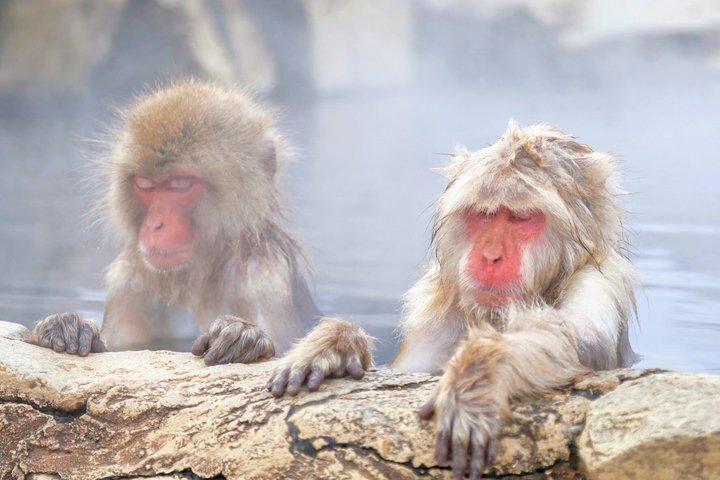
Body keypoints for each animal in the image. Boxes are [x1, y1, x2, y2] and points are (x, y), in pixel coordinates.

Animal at [30, 80, 372, 375]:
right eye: (145, 185)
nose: (155, 225)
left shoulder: (264, 276)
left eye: (181, 184)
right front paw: (66, 327)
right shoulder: (130, 278)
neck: (199, 275)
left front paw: (241, 336)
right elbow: (117, 346)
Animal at [391, 121, 639, 479]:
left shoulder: (600, 280)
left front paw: (479, 373)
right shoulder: (436, 312)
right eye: (485, 214)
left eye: (520, 218)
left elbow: (580, 340)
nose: (491, 256)